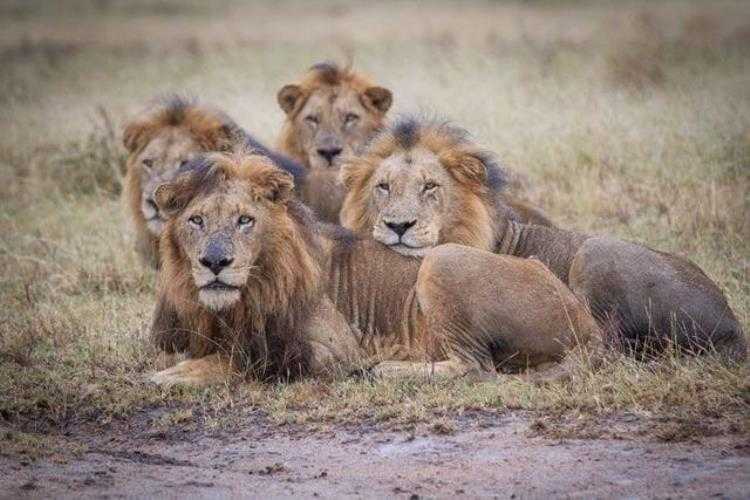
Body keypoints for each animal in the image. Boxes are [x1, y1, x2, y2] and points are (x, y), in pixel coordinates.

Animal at [147, 150, 603, 386]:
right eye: (196, 220)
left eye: (245, 220)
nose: (214, 262)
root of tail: (588, 325)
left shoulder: (332, 351)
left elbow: (248, 360)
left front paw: (173, 376)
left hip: (441, 259)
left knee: (475, 367)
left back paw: (387, 369)